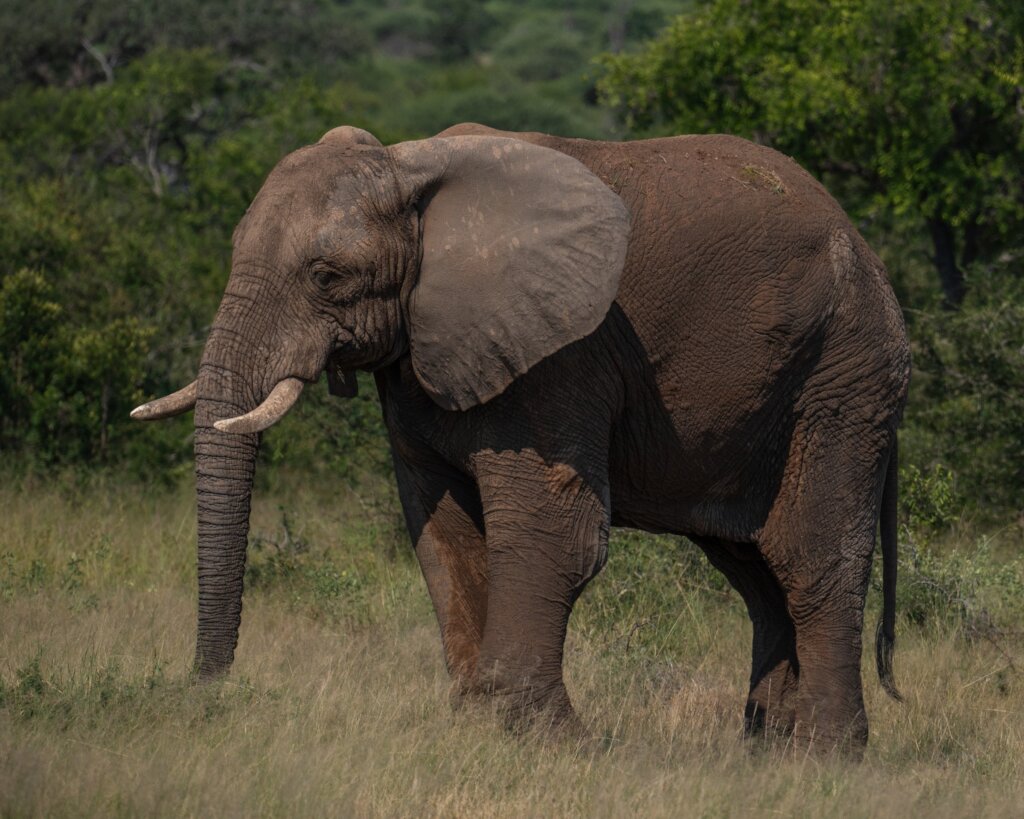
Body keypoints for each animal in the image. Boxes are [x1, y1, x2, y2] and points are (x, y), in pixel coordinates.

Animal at [132, 122, 910, 753]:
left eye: (327, 276)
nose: (207, 692)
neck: (410, 171)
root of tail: (868, 250)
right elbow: (443, 532)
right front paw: (475, 724)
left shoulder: (563, 352)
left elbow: (557, 533)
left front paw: (544, 738)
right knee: (753, 566)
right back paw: (763, 751)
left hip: (843, 374)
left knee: (810, 555)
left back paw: (823, 755)